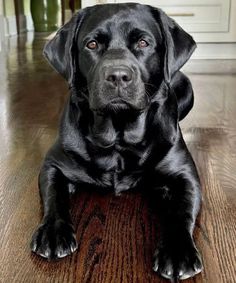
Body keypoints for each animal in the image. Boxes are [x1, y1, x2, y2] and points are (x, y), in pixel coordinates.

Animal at [30, 2, 203, 282]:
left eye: (143, 42)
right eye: (91, 44)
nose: (118, 75)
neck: (119, 141)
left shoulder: (185, 175)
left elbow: (182, 210)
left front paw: (177, 251)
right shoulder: (53, 164)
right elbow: (54, 197)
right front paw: (53, 233)